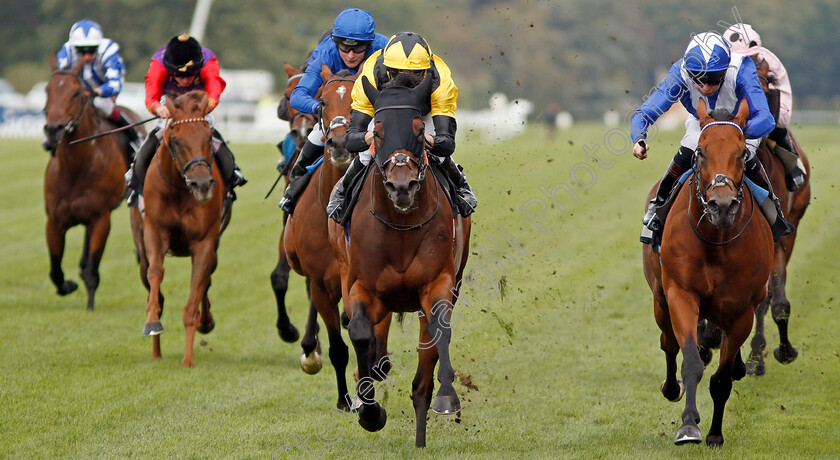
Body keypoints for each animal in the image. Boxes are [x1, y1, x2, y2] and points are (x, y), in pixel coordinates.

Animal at [44, 57, 145, 310]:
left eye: (76, 93)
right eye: (47, 90)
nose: (53, 130)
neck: (76, 168)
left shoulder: (101, 218)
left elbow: (92, 270)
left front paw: (89, 308)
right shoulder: (54, 220)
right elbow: (55, 270)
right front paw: (68, 285)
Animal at [129, 91, 228, 368]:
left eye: (207, 137)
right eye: (176, 140)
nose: (202, 184)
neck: (179, 190)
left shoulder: (204, 244)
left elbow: (195, 293)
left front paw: (188, 359)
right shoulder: (155, 233)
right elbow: (156, 273)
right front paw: (152, 323)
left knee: (207, 280)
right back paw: (156, 351)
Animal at [328, 74, 472, 446]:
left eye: (420, 130)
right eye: (377, 131)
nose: (402, 186)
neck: (401, 226)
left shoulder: (438, 284)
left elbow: (439, 332)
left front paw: (447, 397)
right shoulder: (361, 286)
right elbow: (360, 332)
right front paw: (370, 412)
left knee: (424, 366)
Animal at [644, 99, 776, 446]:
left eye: (742, 154)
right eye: (700, 153)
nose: (722, 205)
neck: (715, 240)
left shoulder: (740, 309)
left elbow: (722, 379)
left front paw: (715, 434)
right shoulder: (681, 294)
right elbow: (689, 359)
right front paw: (689, 425)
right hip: (660, 300)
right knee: (668, 342)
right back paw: (671, 386)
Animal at [696, 55, 812, 376]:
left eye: (768, 89)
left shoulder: (776, 239)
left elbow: (773, 300)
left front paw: (774, 352)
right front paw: (708, 338)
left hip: (793, 226)